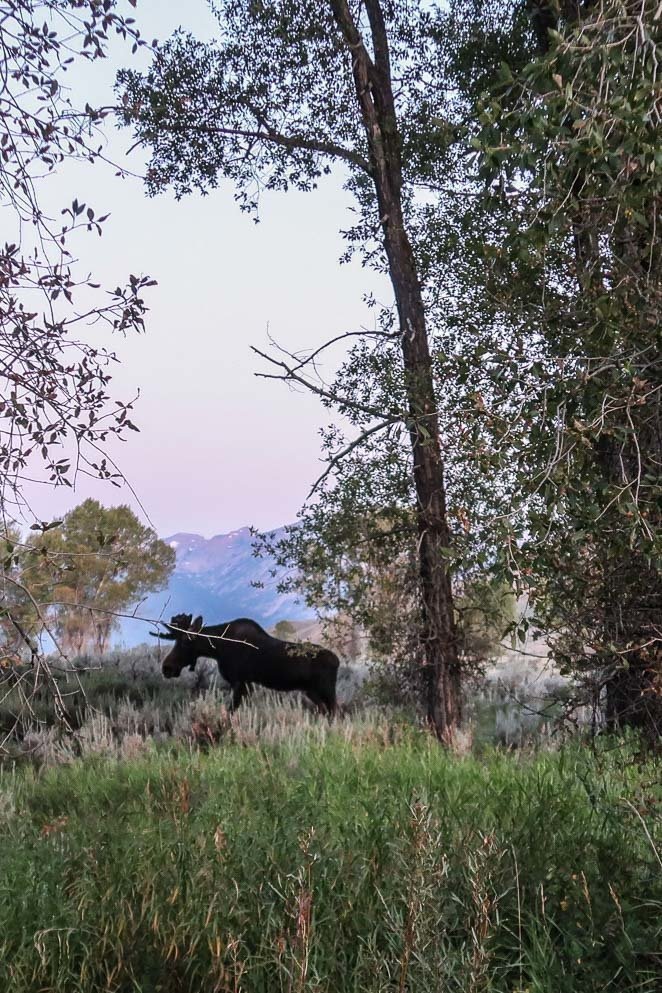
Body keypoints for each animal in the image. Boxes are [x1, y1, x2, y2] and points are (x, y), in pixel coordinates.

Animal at [149, 612, 338, 712]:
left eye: (185, 642)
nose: (167, 667)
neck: (218, 649)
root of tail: (337, 661)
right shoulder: (246, 684)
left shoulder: (239, 682)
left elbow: (231, 712)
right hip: (311, 691)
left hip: (326, 690)